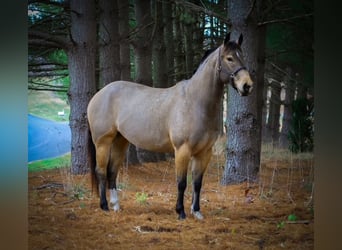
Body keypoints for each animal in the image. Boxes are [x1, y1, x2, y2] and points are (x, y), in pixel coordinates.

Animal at [87, 32, 254, 220]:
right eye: (229, 58)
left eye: (242, 57)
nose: (247, 86)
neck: (195, 102)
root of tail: (99, 94)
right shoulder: (182, 150)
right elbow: (181, 183)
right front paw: (180, 212)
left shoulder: (204, 152)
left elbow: (197, 183)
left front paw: (197, 212)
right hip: (103, 142)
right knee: (101, 171)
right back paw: (104, 206)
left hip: (120, 141)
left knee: (112, 171)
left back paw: (116, 205)